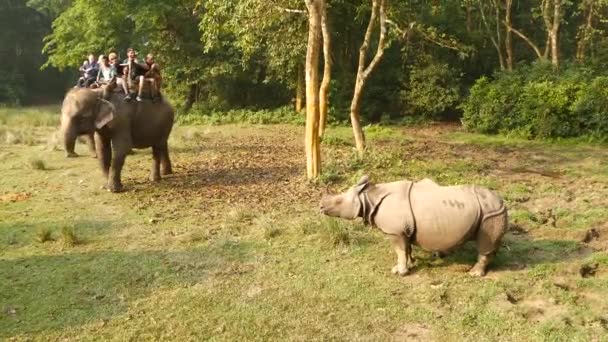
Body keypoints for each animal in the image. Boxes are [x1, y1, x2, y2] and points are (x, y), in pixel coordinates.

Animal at [318, 175, 508, 276]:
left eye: (338, 201)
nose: (320, 207)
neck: (368, 198)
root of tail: (502, 201)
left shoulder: (395, 232)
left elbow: (400, 251)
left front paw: (399, 272)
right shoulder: (403, 230)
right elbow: (406, 249)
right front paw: (410, 264)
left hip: (491, 213)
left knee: (485, 243)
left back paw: (474, 274)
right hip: (490, 211)